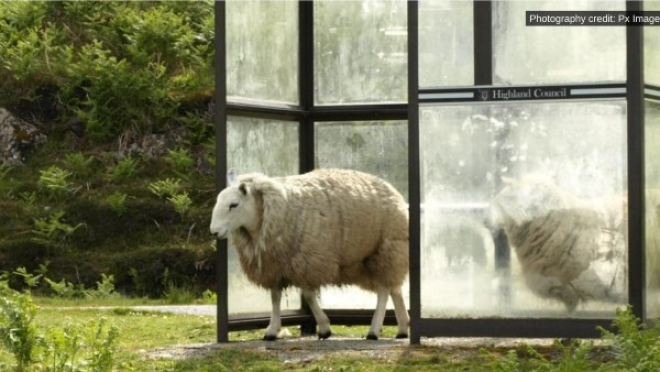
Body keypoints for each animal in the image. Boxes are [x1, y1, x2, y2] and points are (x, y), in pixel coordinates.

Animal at [210, 169, 408, 340]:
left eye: (233, 205)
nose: (214, 232)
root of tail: (396, 194)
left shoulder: (309, 263)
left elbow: (308, 296)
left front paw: (325, 328)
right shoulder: (274, 265)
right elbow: (275, 298)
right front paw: (272, 330)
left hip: (385, 250)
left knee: (384, 291)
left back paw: (374, 330)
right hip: (371, 259)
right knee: (394, 288)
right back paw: (403, 329)